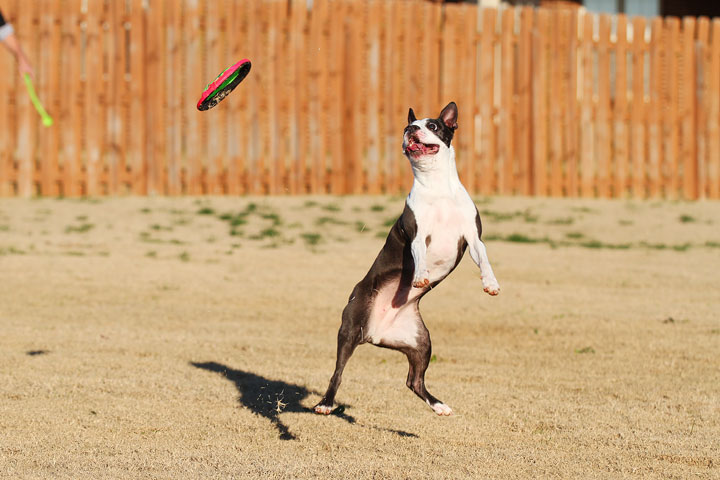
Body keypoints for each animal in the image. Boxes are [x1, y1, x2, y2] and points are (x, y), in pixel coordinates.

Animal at [316, 102, 500, 416]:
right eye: (408, 127)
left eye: (434, 126)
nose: (411, 128)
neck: (438, 187)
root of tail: (375, 334)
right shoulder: (417, 235)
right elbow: (420, 256)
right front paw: (421, 276)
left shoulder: (473, 238)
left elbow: (484, 259)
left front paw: (490, 283)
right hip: (351, 326)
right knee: (337, 373)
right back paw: (326, 404)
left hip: (421, 342)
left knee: (414, 380)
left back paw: (439, 405)